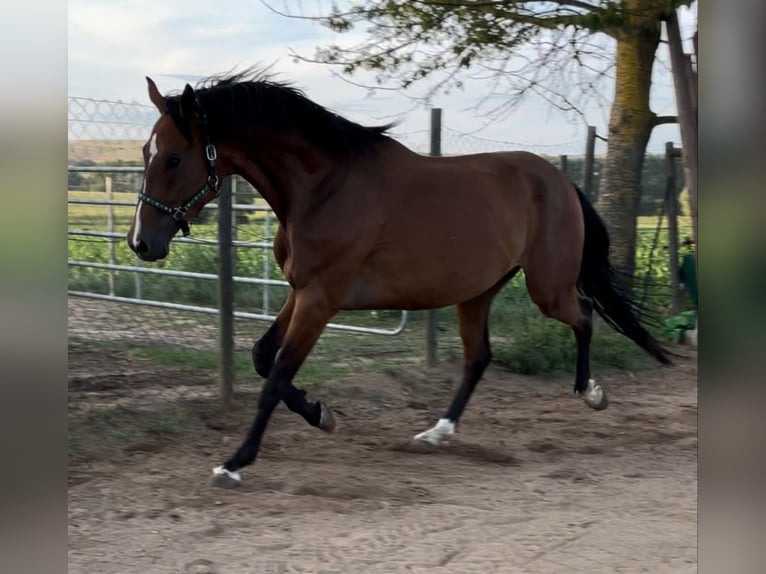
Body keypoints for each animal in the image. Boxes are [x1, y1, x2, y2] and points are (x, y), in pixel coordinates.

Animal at [127, 70, 672, 488]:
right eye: (145, 153)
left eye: (173, 158)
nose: (140, 243)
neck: (322, 187)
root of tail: (561, 180)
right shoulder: (300, 292)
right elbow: (264, 358)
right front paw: (321, 414)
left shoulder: (321, 300)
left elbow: (277, 373)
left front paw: (235, 463)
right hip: (478, 291)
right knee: (480, 357)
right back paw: (437, 433)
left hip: (546, 288)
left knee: (584, 316)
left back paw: (591, 392)